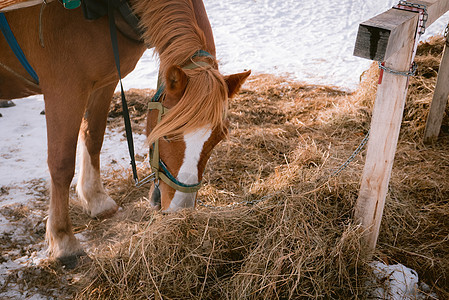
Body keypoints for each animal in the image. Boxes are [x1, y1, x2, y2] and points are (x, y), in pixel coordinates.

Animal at [0, 0, 250, 268]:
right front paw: (65, 241)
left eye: (217, 139)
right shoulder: (64, 87)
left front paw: (96, 199)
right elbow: (62, 164)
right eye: (167, 134)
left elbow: (94, 136)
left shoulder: (104, 81)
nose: (180, 211)